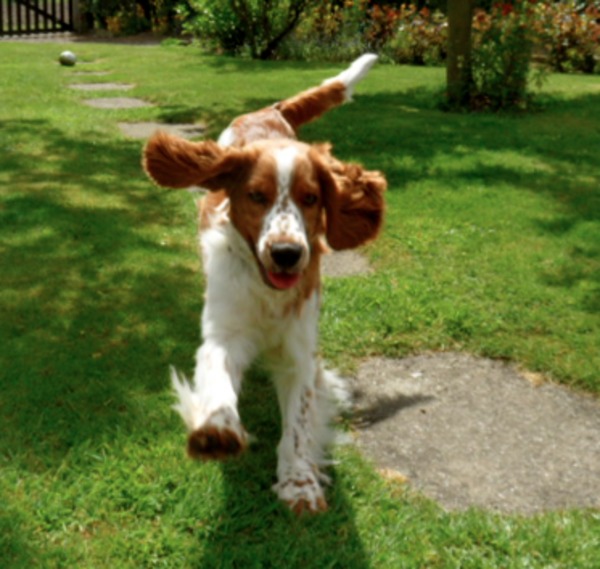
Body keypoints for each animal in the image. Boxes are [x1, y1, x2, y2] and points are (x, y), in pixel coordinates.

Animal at [142, 54, 384, 516]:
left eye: (311, 198)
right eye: (256, 196)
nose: (286, 253)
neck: (268, 292)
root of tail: (267, 111)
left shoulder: (299, 353)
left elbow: (299, 423)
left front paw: (299, 482)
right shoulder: (224, 334)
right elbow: (217, 382)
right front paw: (216, 430)